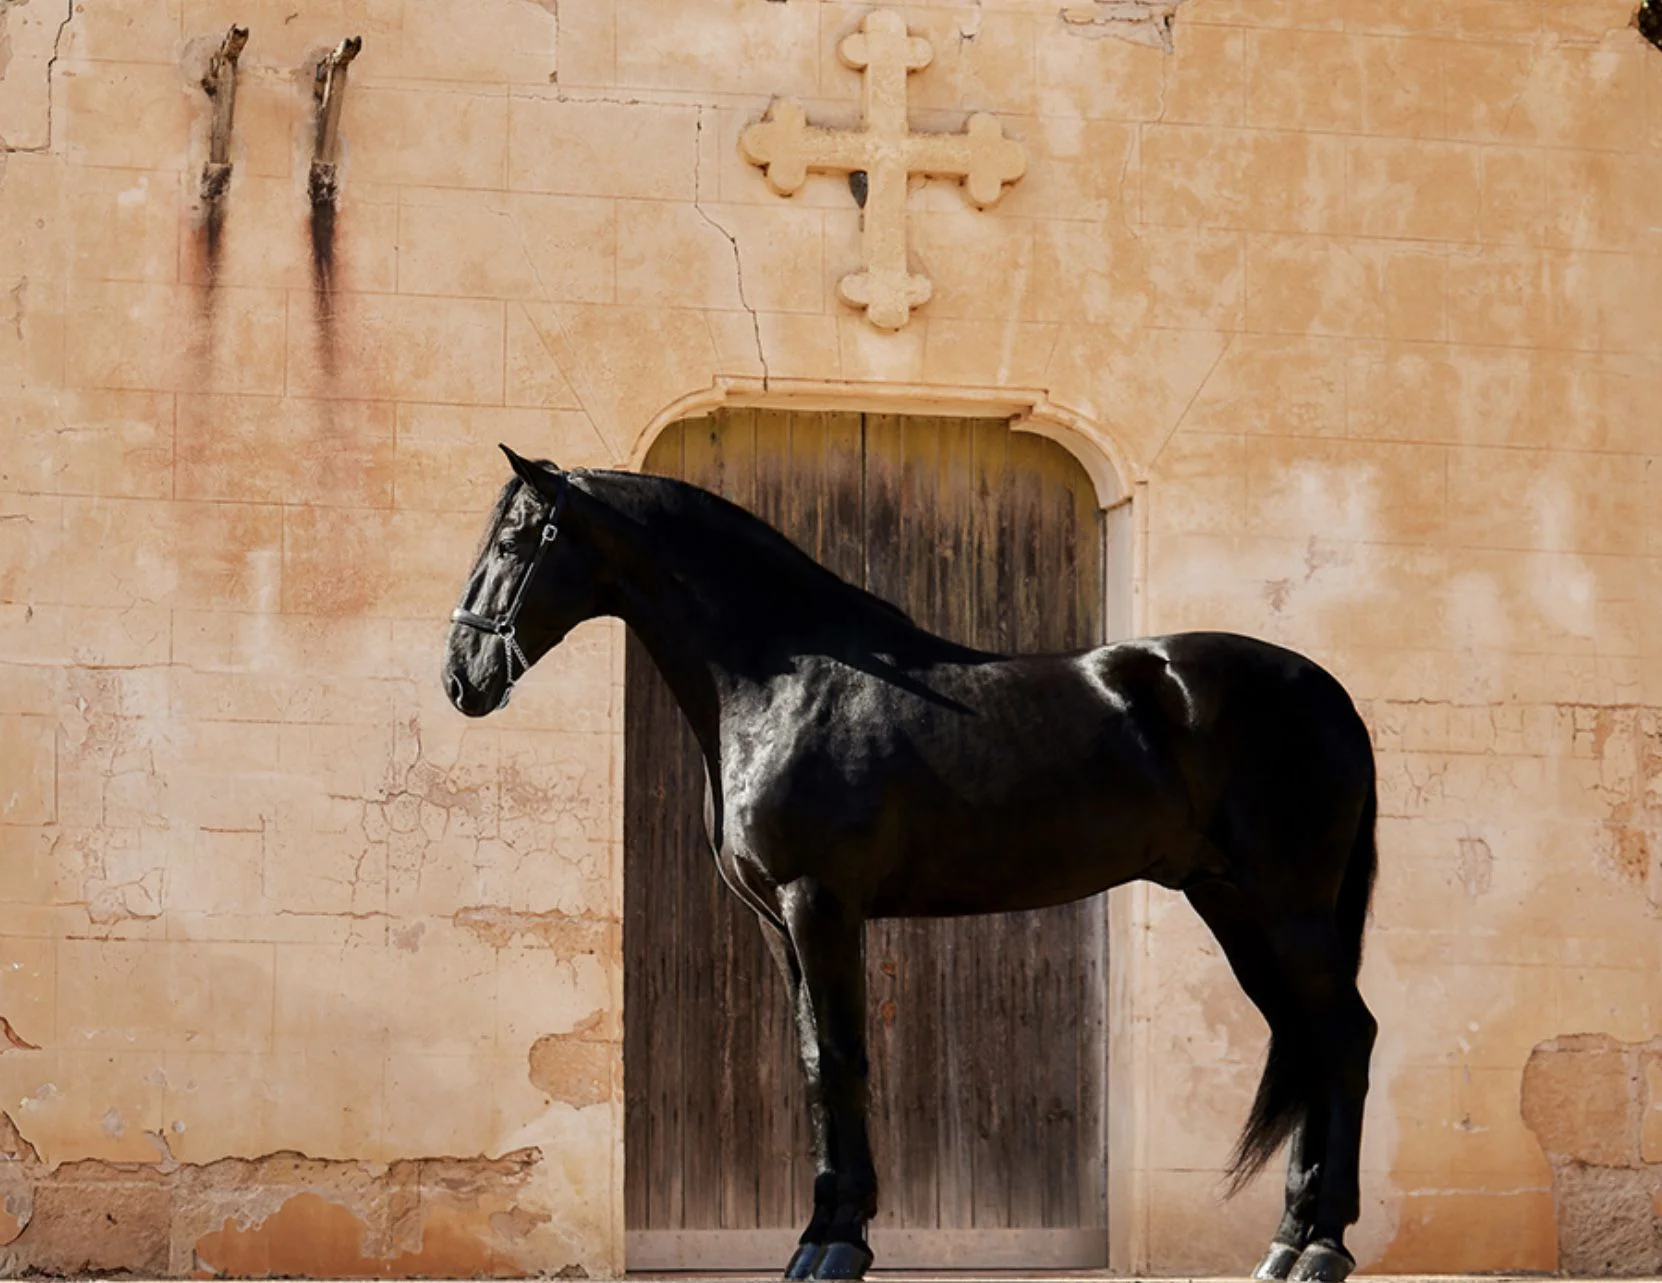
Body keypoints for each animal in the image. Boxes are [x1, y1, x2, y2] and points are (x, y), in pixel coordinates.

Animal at [443, 446, 1379, 1283]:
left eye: (516, 540)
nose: (462, 678)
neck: (785, 679)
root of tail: (1330, 693)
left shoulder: (819, 901)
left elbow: (843, 1058)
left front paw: (836, 1244)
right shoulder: (774, 917)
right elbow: (813, 1061)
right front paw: (819, 1234)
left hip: (1286, 907)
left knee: (1346, 1035)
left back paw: (1322, 1248)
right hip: (1235, 904)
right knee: (1310, 1037)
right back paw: (1287, 1242)